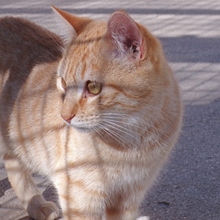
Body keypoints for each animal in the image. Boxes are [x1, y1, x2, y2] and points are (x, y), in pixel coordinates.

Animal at [0, 6, 182, 220]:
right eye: (62, 82)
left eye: (93, 87)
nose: (64, 116)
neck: (131, 141)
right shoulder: (79, 196)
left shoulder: (129, 194)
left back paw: (35, 204)